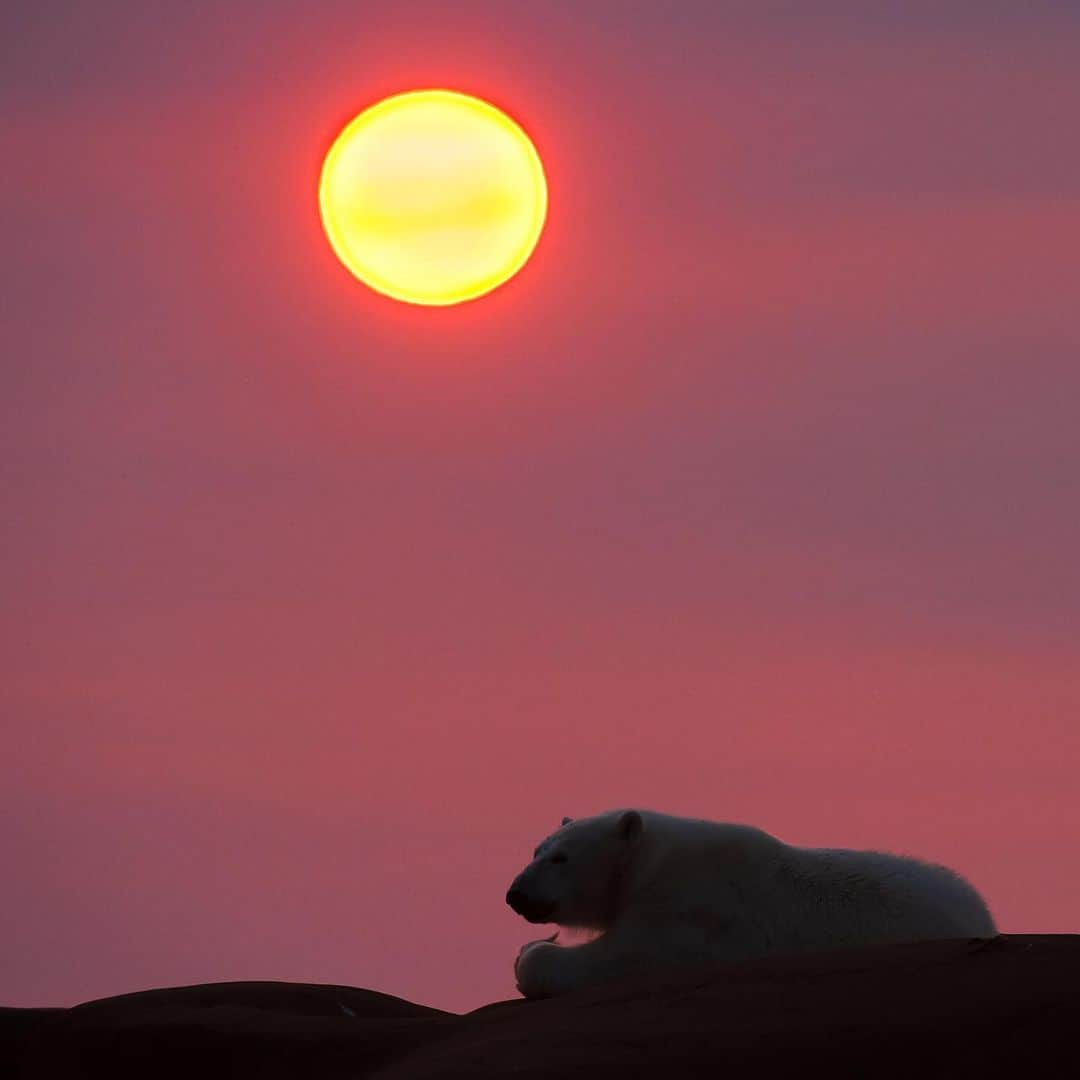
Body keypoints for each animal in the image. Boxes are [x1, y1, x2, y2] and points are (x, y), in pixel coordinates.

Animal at [505, 812, 993, 993]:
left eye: (561, 857)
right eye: (535, 850)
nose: (515, 895)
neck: (651, 859)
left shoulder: (688, 911)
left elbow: (622, 959)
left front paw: (532, 954)